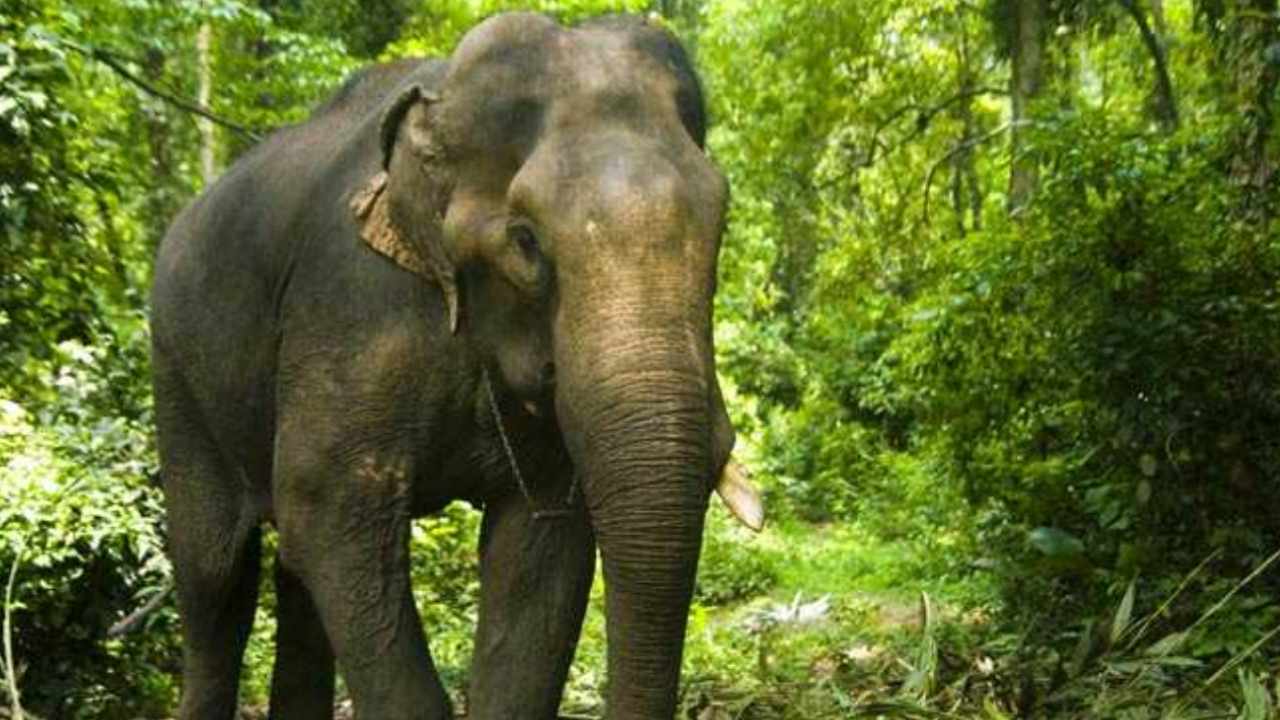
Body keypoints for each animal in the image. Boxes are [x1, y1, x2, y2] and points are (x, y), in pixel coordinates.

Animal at [149, 11, 763, 720]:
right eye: (526, 241)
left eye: (721, 225)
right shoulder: (352, 302)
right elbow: (325, 504)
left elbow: (539, 554)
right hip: (176, 374)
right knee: (215, 575)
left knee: (292, 580)